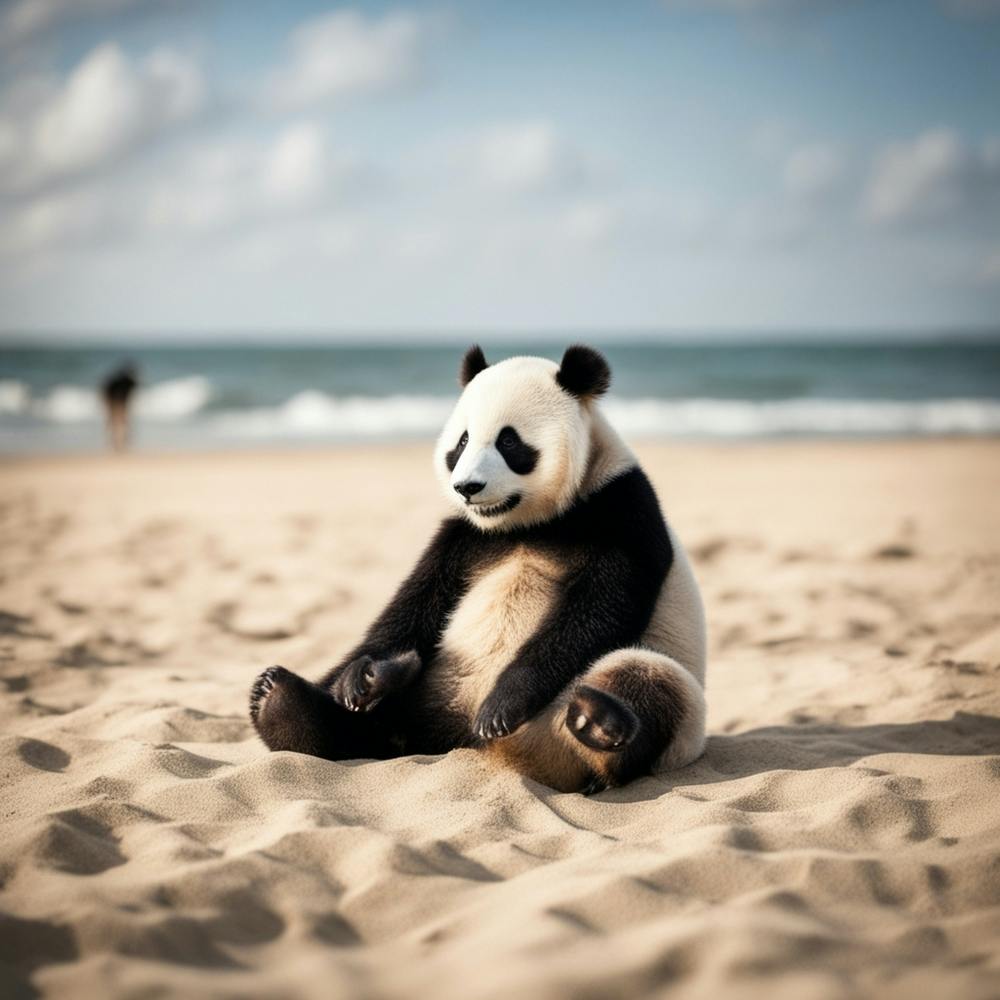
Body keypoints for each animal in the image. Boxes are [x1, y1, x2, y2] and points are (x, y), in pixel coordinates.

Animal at [249, 344, 707, 793]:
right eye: (462, 441)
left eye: (509, 441)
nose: (467, 487)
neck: (529, 523)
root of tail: (479, 747)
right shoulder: (465, 538)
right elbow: (415, 604)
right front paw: (358, 678)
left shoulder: (621, 510)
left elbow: (599, 608)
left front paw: (502, 705)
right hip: (429, 693)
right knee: (363, 725)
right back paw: (298, 696)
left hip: (654, 706)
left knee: (648, 678)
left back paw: (596, 719)